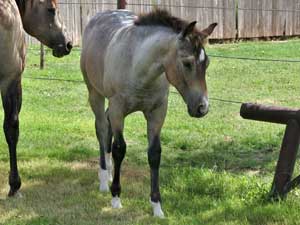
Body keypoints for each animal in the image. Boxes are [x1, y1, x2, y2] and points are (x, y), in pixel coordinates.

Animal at [79, 9, 216, 218]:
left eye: (206, 63)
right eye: (187, 63)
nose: (202, 107)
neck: (138, 66)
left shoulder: (157, 112)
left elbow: (154, 154)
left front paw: (157, 206)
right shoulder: (118, 109)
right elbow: (119, 149)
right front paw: (116, 197)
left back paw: (109, 173)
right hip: (95, 93)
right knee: (102, 129)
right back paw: (104, 179)